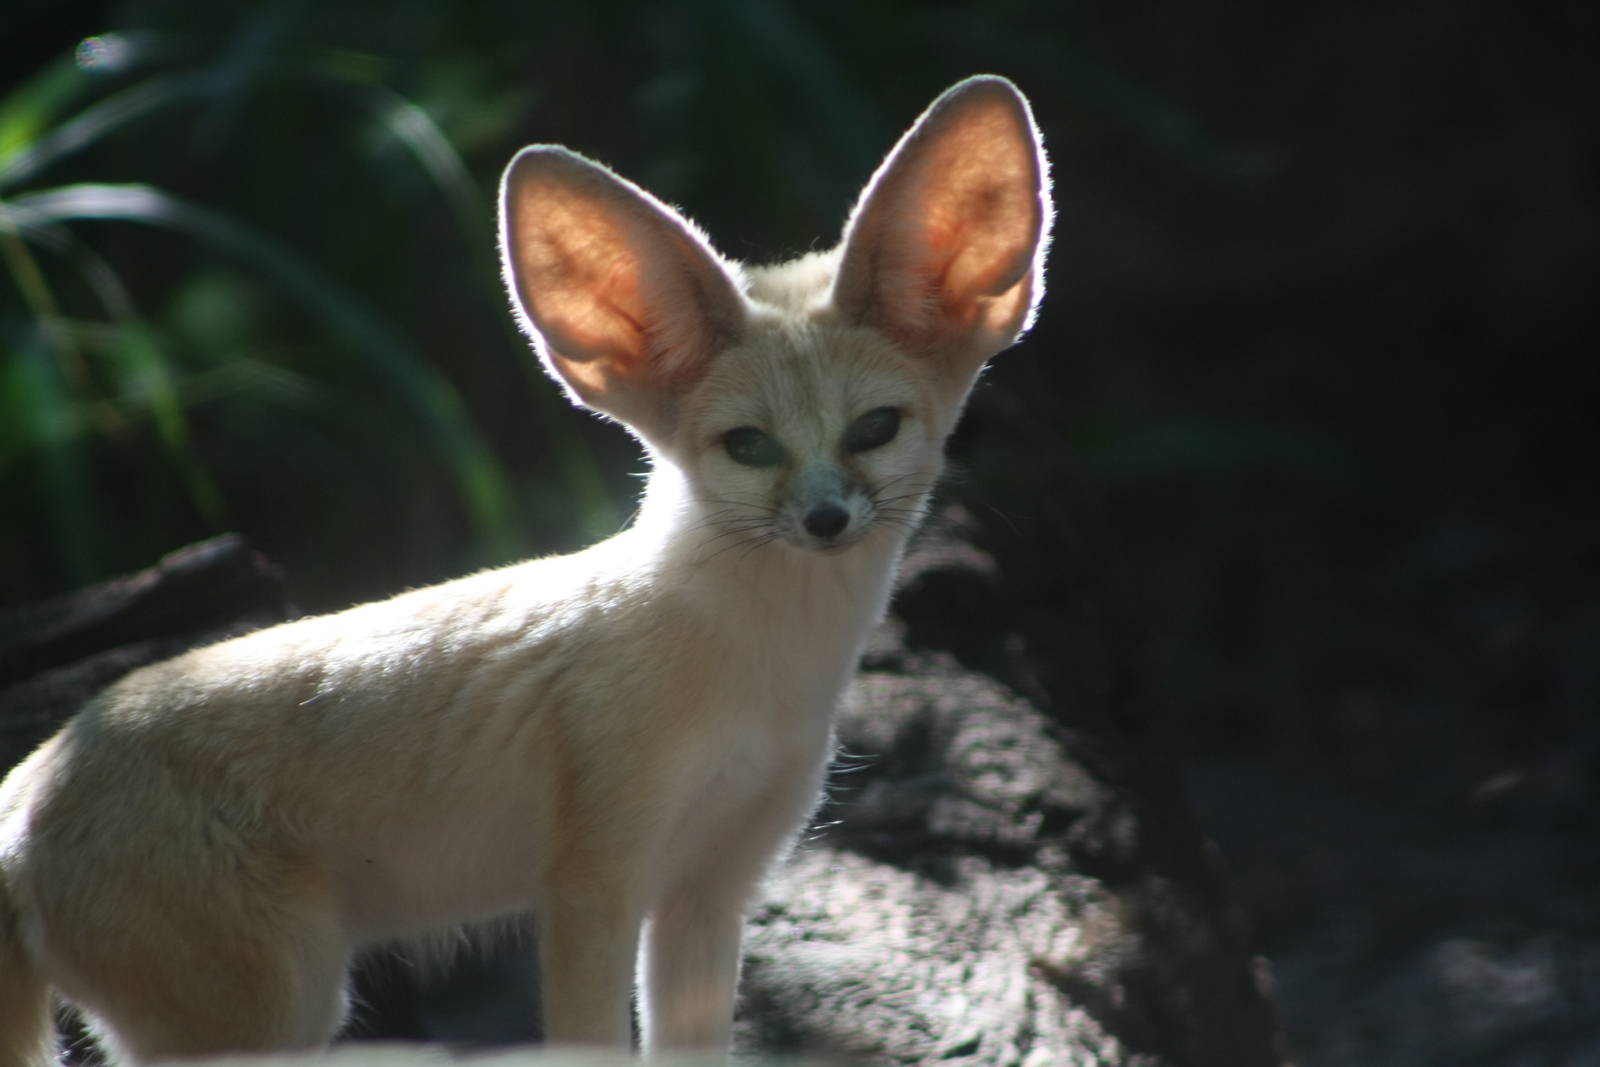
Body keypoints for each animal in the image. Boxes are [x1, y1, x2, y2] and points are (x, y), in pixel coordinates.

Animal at [0, 75, 1051, 1064]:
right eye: (749, 447)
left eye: (873, 429)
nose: (827, 519)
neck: (762, 671)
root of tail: (30, 791)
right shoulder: (592, 886)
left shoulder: (710, 891)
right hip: (279, 1008)